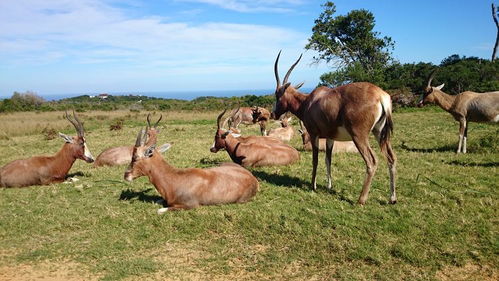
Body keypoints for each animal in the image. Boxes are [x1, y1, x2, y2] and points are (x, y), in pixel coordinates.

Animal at [123, 127, 260, 212]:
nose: (126, 175)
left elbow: (160, 210)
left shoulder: (190, 205)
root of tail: (253, 179)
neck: (175, 178)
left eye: (135, 157)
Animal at [272, 50, 396, 203]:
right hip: (380, 133)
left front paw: (313, 186)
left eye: (277, 95)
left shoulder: (314, 134)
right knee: (391, 158)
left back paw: (361, 200)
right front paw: (329, 186)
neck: (309, 101)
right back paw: (392, 198)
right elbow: (328, 160)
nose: (274, 114)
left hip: (359, 136)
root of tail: (380, 95)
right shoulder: (330, 137)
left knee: (372, 161)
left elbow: (315, 159)